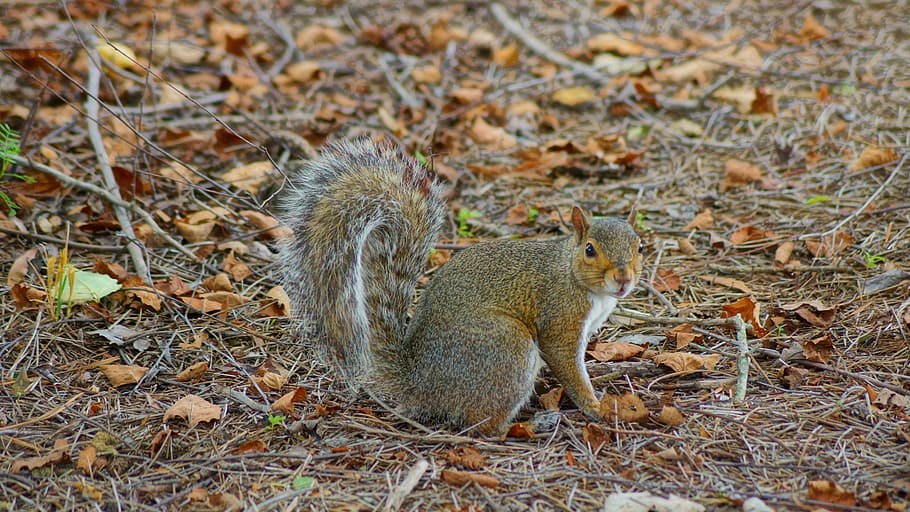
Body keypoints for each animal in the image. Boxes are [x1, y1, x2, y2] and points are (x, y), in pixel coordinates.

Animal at [278, 137, 643, 434]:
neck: (576, 277)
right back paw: (526, 427)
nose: (623, 278)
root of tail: (419, 383)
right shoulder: (560, 315)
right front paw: (593, 405)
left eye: (639, 246)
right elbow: (566, 362)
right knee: (482, 424)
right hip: (506, 348)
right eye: (590, 250)